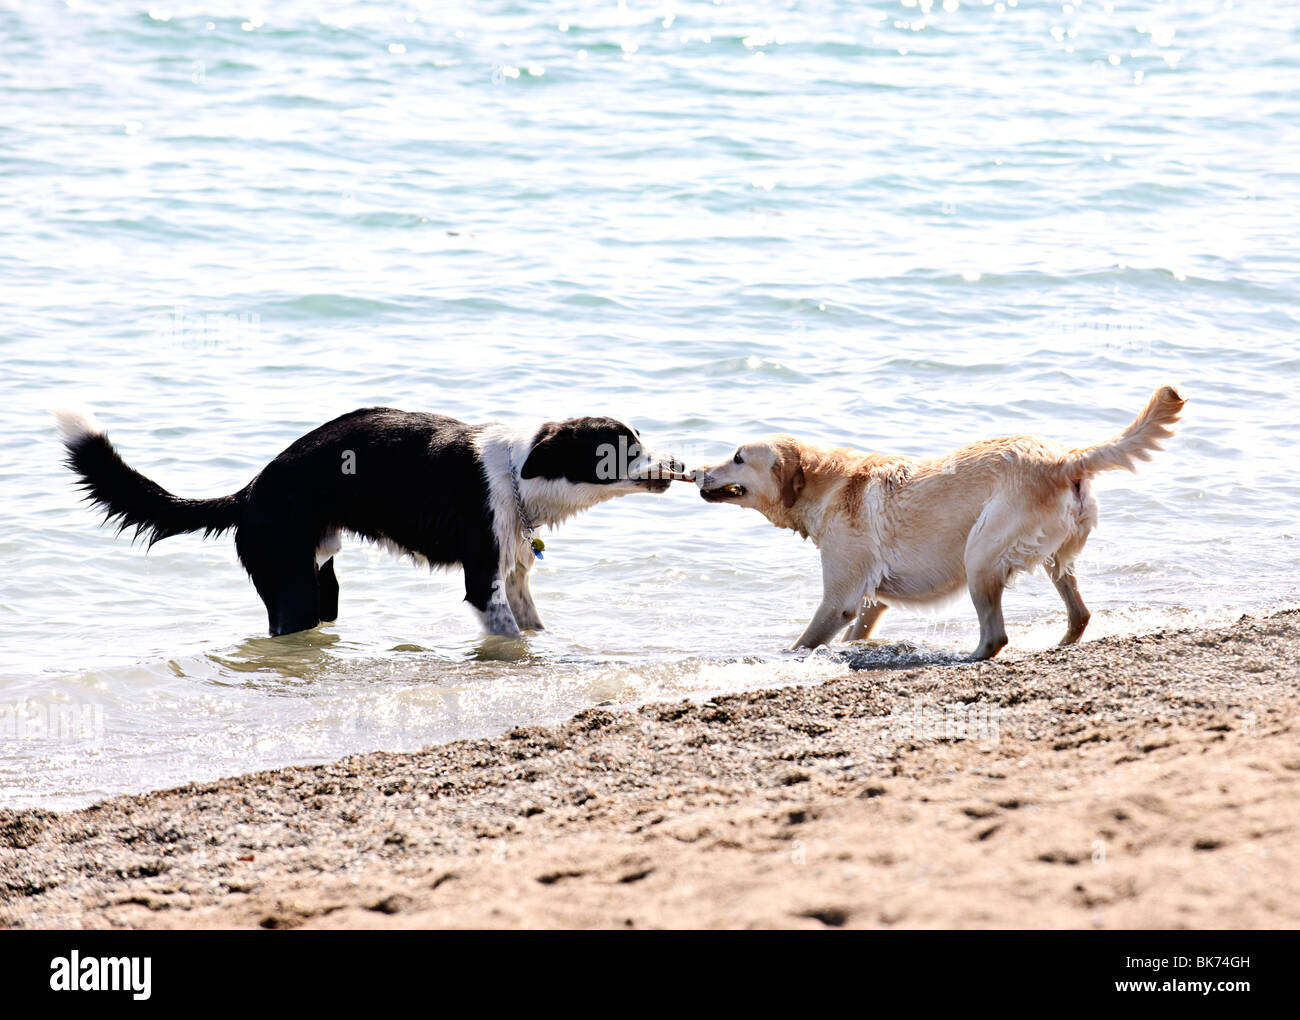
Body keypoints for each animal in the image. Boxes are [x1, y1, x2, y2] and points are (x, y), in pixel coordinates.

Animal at [55, 408, 686, 636]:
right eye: (619, 450)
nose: (676, 465)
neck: (517, 471)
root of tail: (252, 490)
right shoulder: (482, 581)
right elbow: (507, 634)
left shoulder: (513, 578)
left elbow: (531, 626)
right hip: (292, 591)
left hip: (320, 580)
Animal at [696, 384, 1185, 660]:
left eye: (737, 457)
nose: (698, 472)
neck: (826, 481)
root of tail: (1065, 459)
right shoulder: (872, 602)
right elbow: (857, 633)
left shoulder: (840, 599)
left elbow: (807, 640)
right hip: (1054, 559)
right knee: (1080, 613)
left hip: (980, 556)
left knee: (996, 635)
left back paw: (967, 657)